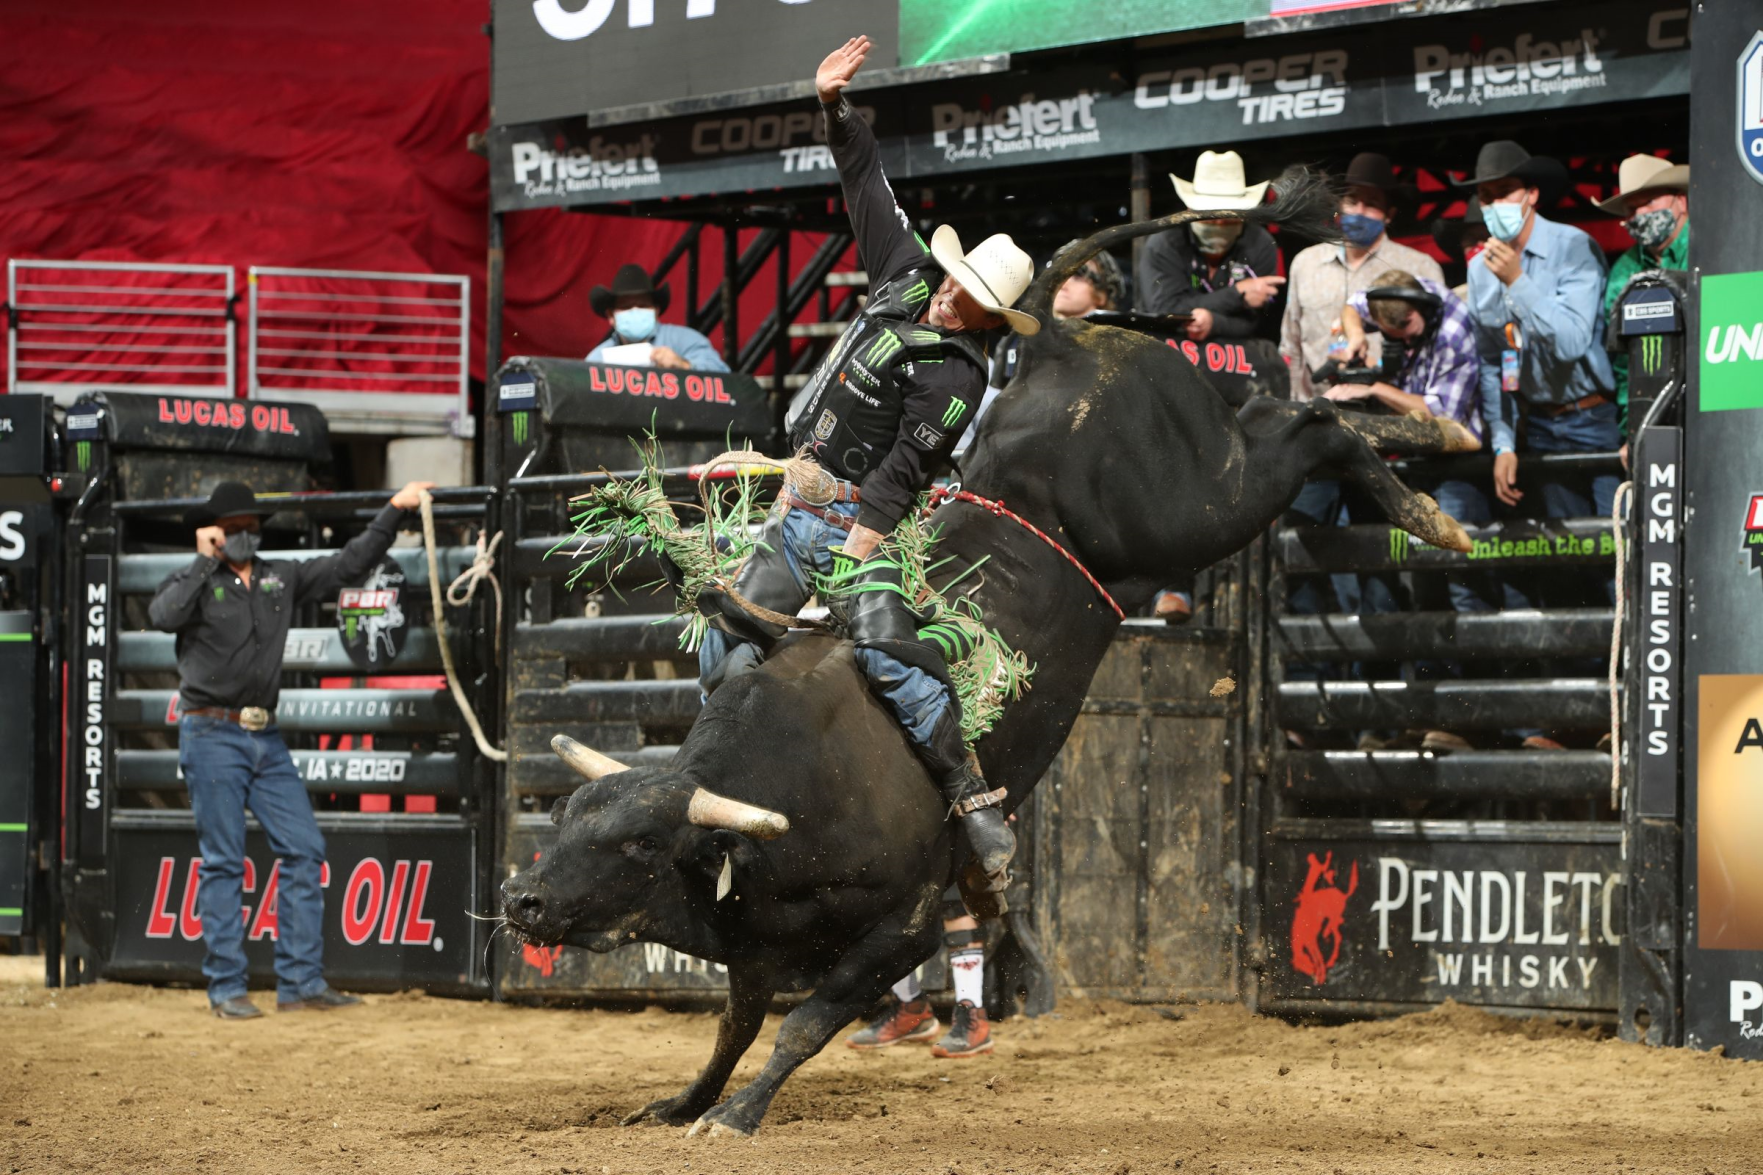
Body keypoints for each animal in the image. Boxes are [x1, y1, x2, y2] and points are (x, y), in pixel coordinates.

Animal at [497, 176, 1473, 1136]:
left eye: (636, 843)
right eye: (565, 817)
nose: (520, 899)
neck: (790, 788)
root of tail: (1054, 341)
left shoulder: (904, 928)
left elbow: (806, 1020)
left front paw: (736, 1114)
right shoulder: (754, 941)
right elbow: (734, 1024)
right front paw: (684, 1101)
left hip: (1197, 502)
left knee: (1310, 421)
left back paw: (1434, 498)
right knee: (1294, 414)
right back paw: (1434, 451)